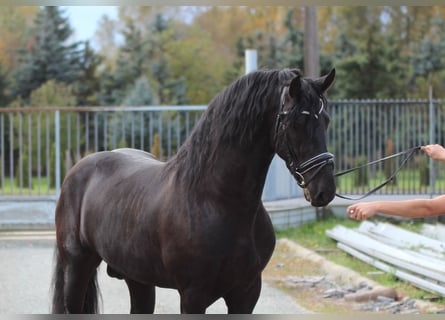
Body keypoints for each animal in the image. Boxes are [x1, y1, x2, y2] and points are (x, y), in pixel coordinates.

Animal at [51, 67, 332, 312]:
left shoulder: (247, 292)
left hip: (138, 278)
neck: (216, 200)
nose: (324, 189)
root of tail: (77, 170)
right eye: (296, 122)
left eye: (326, 120)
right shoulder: (193, 295)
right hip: (77, 267)